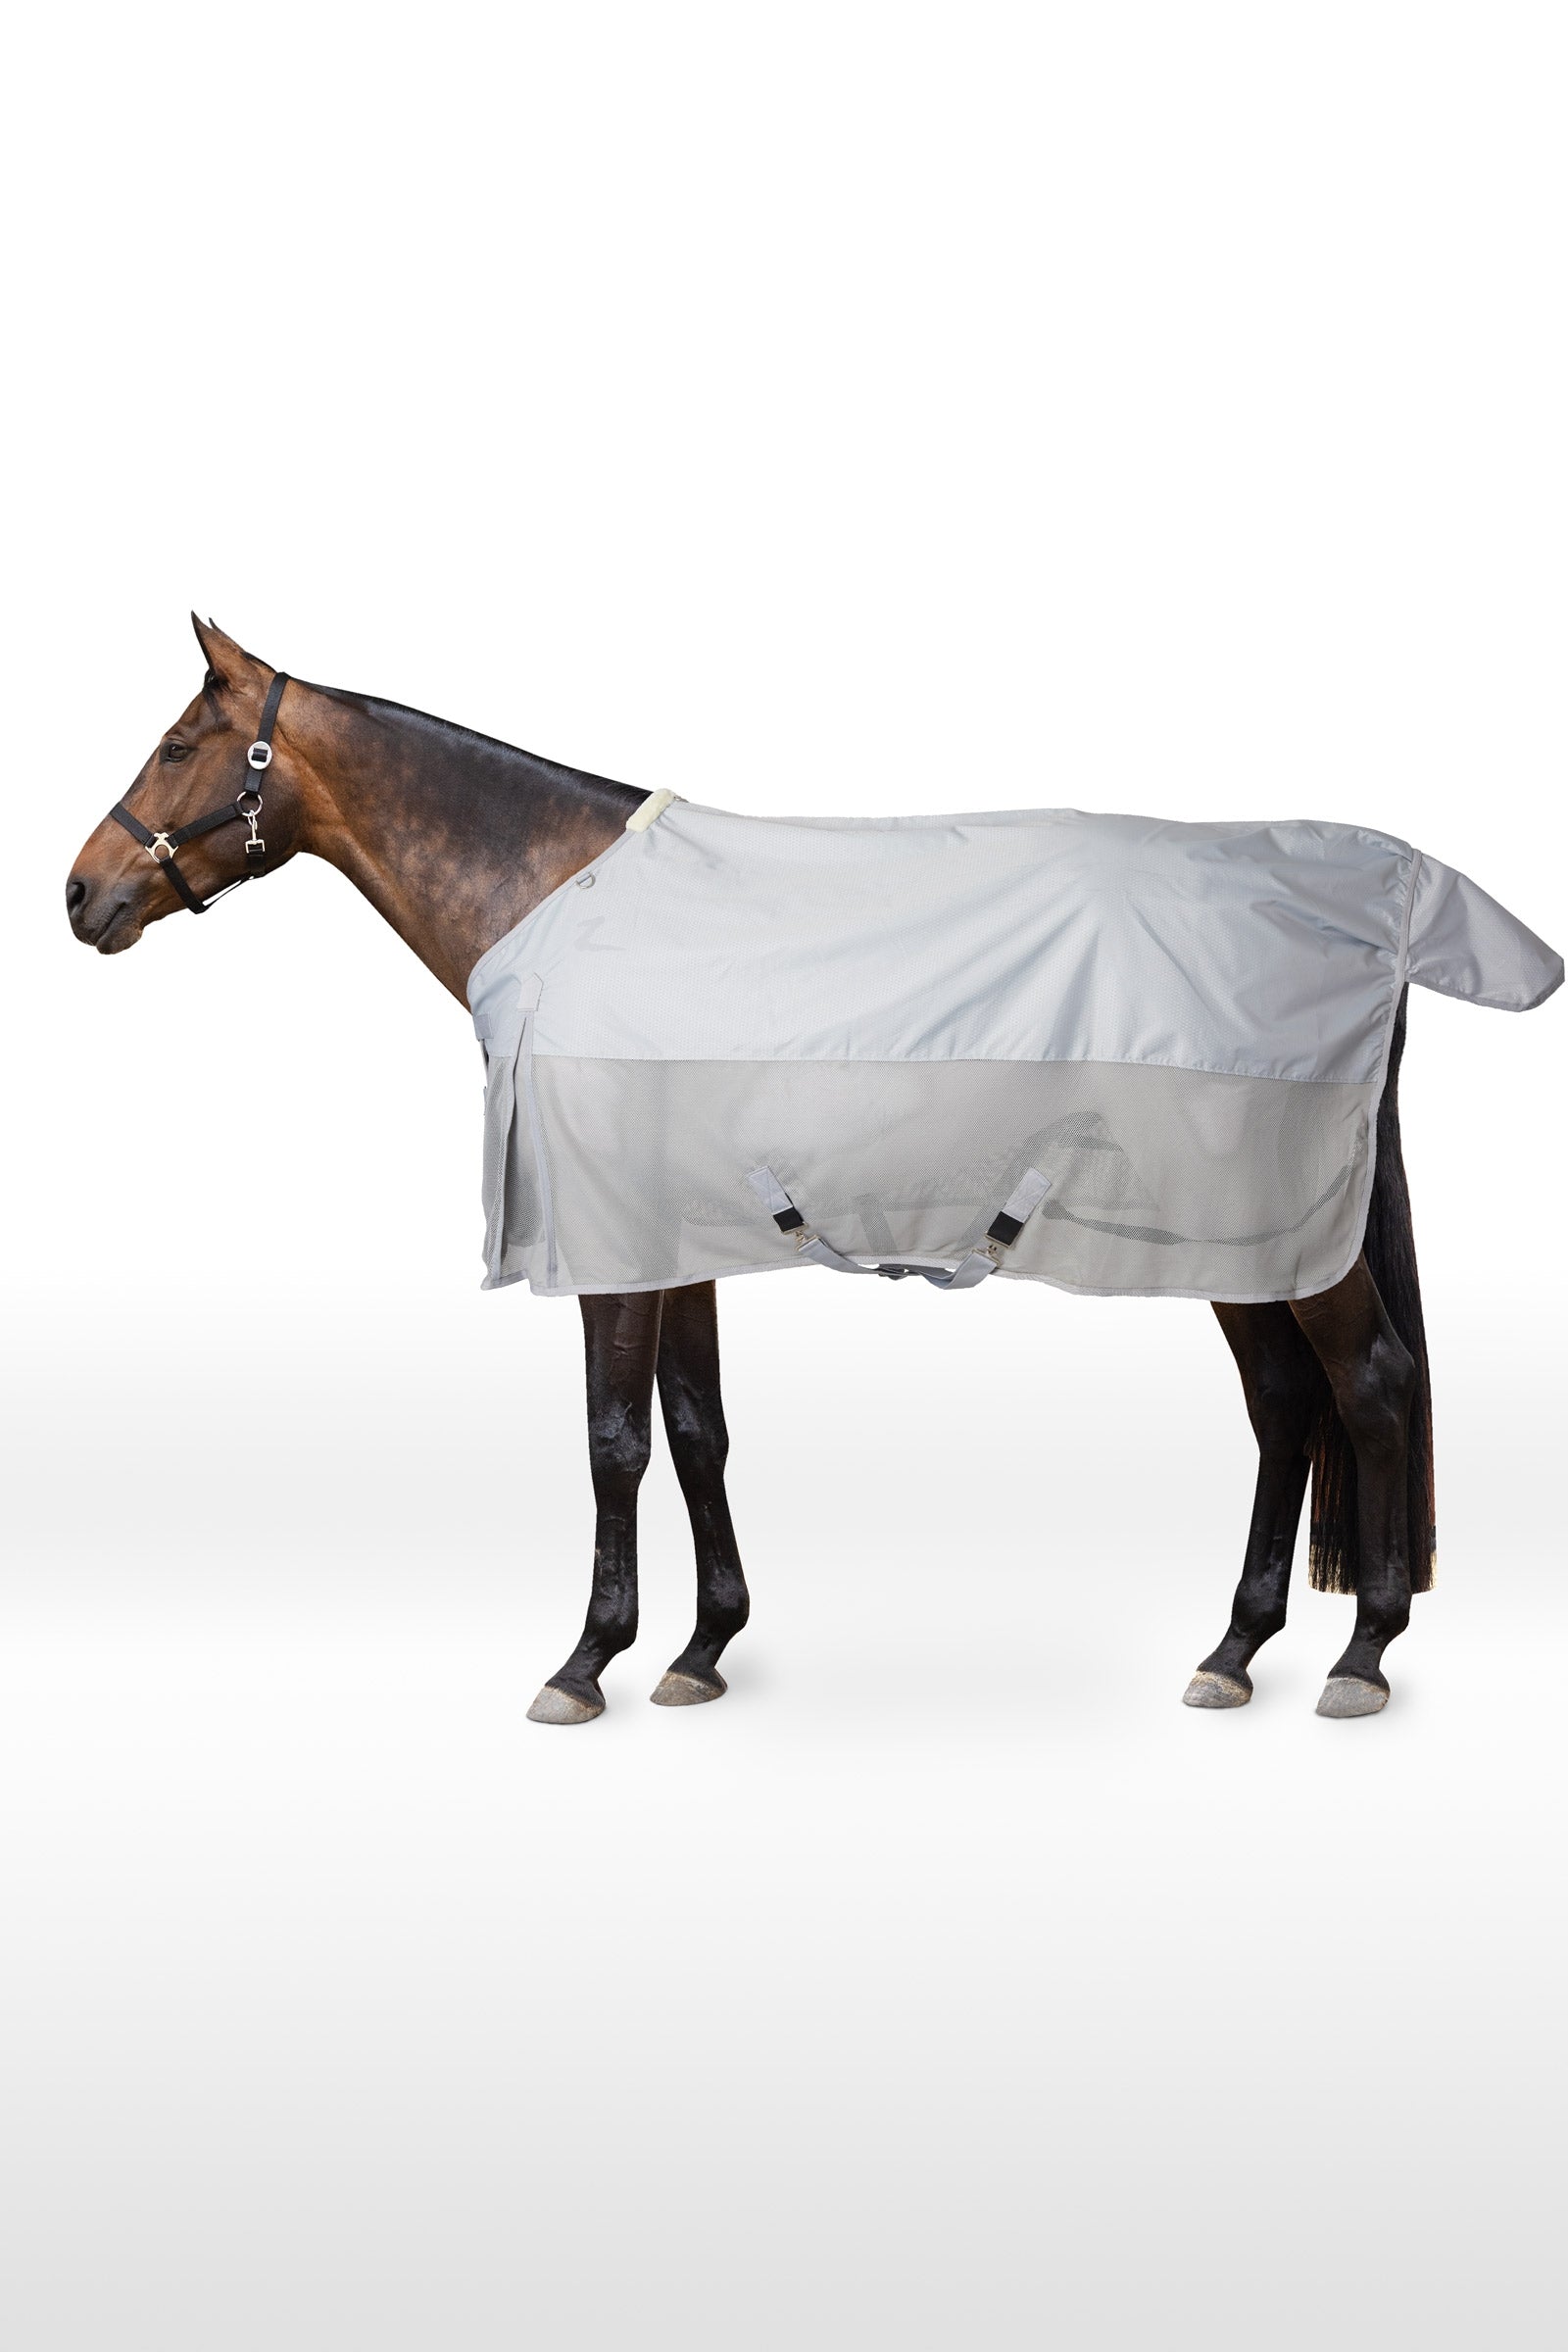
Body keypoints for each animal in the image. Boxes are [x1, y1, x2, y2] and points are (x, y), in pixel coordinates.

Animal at [66, 615, 1450, 1726]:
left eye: (178, 747)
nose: (81, 895)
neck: (570, 903)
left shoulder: (610, 1241)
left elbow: (613, 1439)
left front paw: (586, 1663)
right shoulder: (675, 1239)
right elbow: (695, 1429)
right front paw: (702, 1647)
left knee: (1370, 1383)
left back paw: (1363, 1656)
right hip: (1226, 1235)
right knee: (1285, 1401)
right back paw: (1236, 1648)